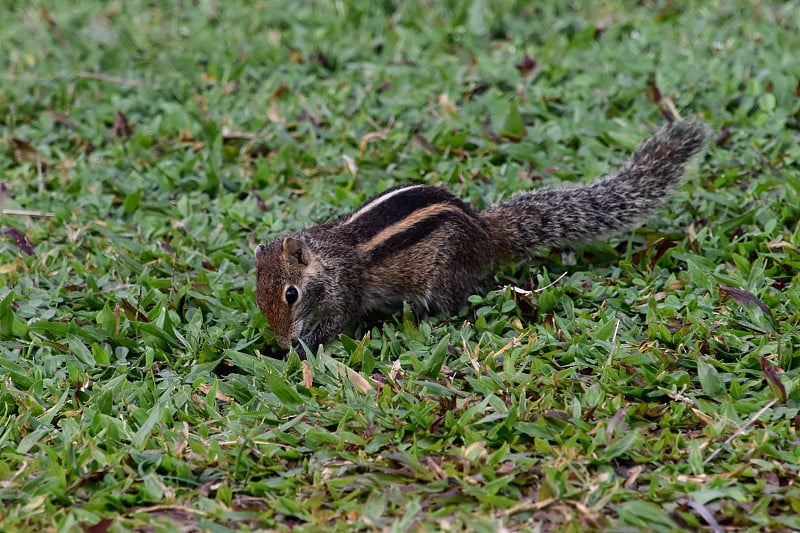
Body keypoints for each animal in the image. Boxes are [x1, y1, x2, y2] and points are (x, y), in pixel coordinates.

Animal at [253, 119, 708, 352]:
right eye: (258, 295)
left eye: (291, 294)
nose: (280, 340)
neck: (325, 260)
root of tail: (487, 235)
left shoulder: (346, 291)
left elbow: (335, 324)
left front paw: (300, 348)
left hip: (443, 276)